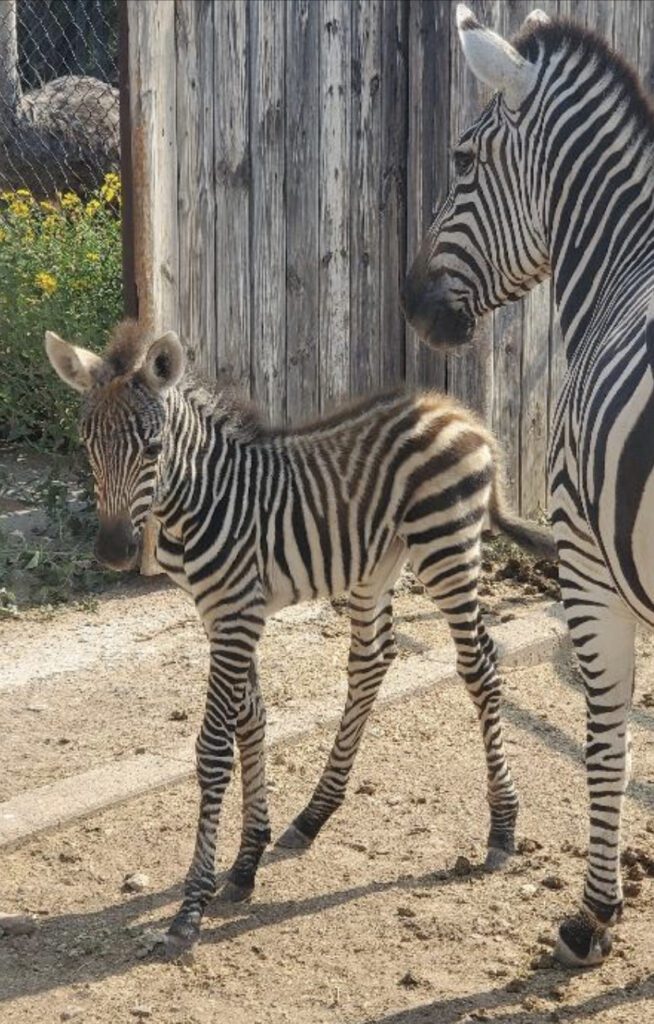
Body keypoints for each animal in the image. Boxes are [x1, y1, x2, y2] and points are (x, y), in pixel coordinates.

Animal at [46, 321, 556, 950]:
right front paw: (246, 863)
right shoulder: (223, 611)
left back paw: (503, 828)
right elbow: (251, 721)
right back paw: (313, 816)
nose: (115, 553)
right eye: (88, 444)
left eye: (153, 450)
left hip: (447, 550)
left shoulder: (236, 613)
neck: (200, 497)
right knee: (372, 659)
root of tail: (459, 412)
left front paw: (191, 908)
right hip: (376, 563)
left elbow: (214, 748)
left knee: (480, 667)